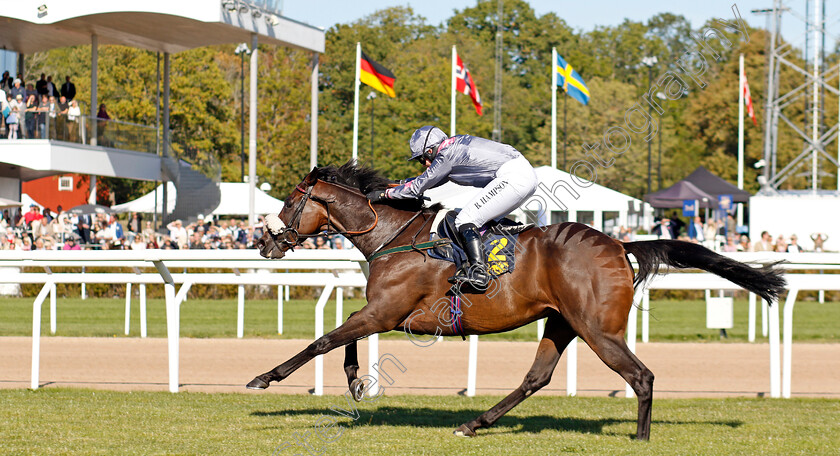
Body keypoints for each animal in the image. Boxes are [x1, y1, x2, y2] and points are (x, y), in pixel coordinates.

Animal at [248, 162, 788, 440]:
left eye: (289, 201)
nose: (265, 242)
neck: (394, 235)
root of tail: (619, 244)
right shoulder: (388, 314)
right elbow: (342, 338)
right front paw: (356, 381)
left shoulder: (388, 311)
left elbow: (323, 339)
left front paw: (265, 377)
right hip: (562, 322)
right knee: (536, 377)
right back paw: (474, 423)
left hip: (598, 329)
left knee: (641, 376)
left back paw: (639, 439)